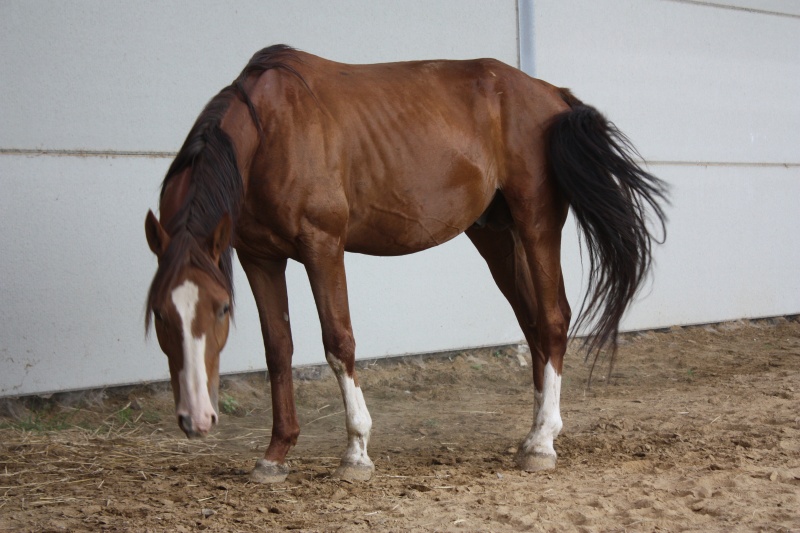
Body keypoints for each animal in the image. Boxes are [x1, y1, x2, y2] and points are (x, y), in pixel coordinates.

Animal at [145, 45, 668, 482]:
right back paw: (535, 432)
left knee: (555, 318)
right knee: (534, 323)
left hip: (536, 225)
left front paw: (356, 453)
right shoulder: (261, 259)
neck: (270, 128)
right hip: (497, 237)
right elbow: (278, 349)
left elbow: (338, 342)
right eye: (159, 314)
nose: (196, 419)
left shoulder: (322, 247)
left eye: (219, 309)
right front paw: (275, 455)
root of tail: (552, 94)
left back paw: (542, 444)